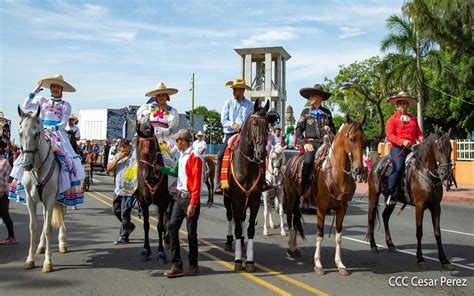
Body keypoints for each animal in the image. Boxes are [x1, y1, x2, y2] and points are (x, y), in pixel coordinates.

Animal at [17, 107, 66, 272]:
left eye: (36, 133)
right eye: (20, 132)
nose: (26, 165)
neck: (38, 168)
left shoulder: (50, 199)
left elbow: (46, 228)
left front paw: (48, 262)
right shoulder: (30, 200)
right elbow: (33, 227)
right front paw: (30, 259)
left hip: (62, 199)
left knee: (60, 219)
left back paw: (62, 243)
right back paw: (41, 246)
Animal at [136, 123, 171, 262]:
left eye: (153, 148)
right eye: (139, 148)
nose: (149, 175)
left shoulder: (162, 201)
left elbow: (160, 226)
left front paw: (161, 252)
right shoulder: (143, 202)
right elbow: (146, 225)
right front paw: (146, 249)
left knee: (168, 216)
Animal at [223, 98, 268, 272]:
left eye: (268, 125)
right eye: (254, 123)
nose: (261, 153)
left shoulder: (254, 201)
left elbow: (250, 230)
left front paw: (249, 260)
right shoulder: (236, 200)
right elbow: (236, 228)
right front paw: (237, 260)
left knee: (242, 218)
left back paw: (242, 243)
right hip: (227, 199)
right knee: (230, 218)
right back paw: (230, 242)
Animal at [284, 114, 364, 276]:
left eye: (363, 139)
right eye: (351, 138)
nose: (358, 169)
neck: (336, 172)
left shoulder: (342, 209)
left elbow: (339, 236)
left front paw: (340, 264)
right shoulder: (321, 208)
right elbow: (320, 235)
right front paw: (318, 264)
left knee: (295, 220)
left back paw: (295, 248)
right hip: (291, 196)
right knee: (290, 219)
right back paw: (290, 248)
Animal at [366, 128, 456, 270]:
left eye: (450, 149)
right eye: (439, 148)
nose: (445, 173)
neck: (426, 175)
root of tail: (377, 163)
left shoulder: (436, 207)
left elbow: (438, 233)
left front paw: (444, 260)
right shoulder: (419, 206)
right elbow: (419, 232)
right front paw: (420, 259)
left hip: (392, 201)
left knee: (385, 216)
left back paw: (390, 244)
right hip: (373, 196)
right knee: (371, 217)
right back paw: (373, 245)